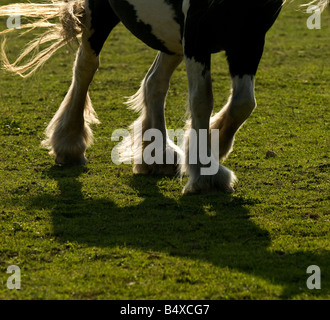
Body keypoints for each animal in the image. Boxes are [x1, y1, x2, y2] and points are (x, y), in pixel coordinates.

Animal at [0, 0, 328, 194]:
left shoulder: (249, 37)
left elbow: (243, 103)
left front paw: (214, 145)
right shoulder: (197, 31)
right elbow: (202, 100)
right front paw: (206, 171)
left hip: (171, 37)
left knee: (154, 84)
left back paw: (158, 155)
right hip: (104, 14)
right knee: (85, 68)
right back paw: (69, 143)